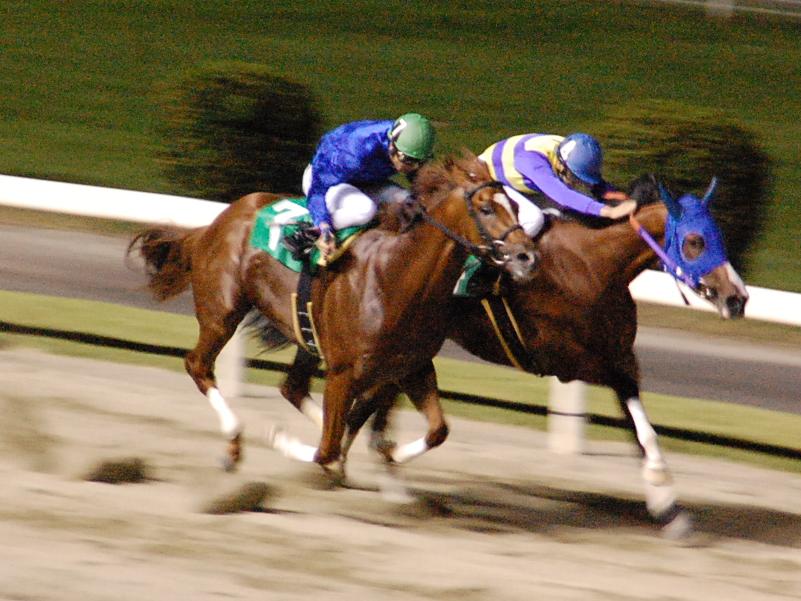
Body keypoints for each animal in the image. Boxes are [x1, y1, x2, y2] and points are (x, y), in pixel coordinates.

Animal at [127, 152, 538, 477]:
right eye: (486, 208)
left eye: (517, 208)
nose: (527, 257)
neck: (396, 276)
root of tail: (219, 221)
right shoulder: (343, 372)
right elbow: (325, 449)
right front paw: (284, 440)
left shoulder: (413, 366)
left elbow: (438, 430)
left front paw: (385, 454)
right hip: (222, 312)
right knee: (199, 366)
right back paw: (234, 443)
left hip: (305, 334)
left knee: (293, 387)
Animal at [275, 174, 749, 527]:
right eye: (695, 241)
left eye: (720, 237)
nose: (738, 298)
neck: (594, 265)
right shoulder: (571, 361)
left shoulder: (619, 359)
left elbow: (642, 430)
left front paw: (668, 506)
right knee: (362, 405)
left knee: (370, 407)